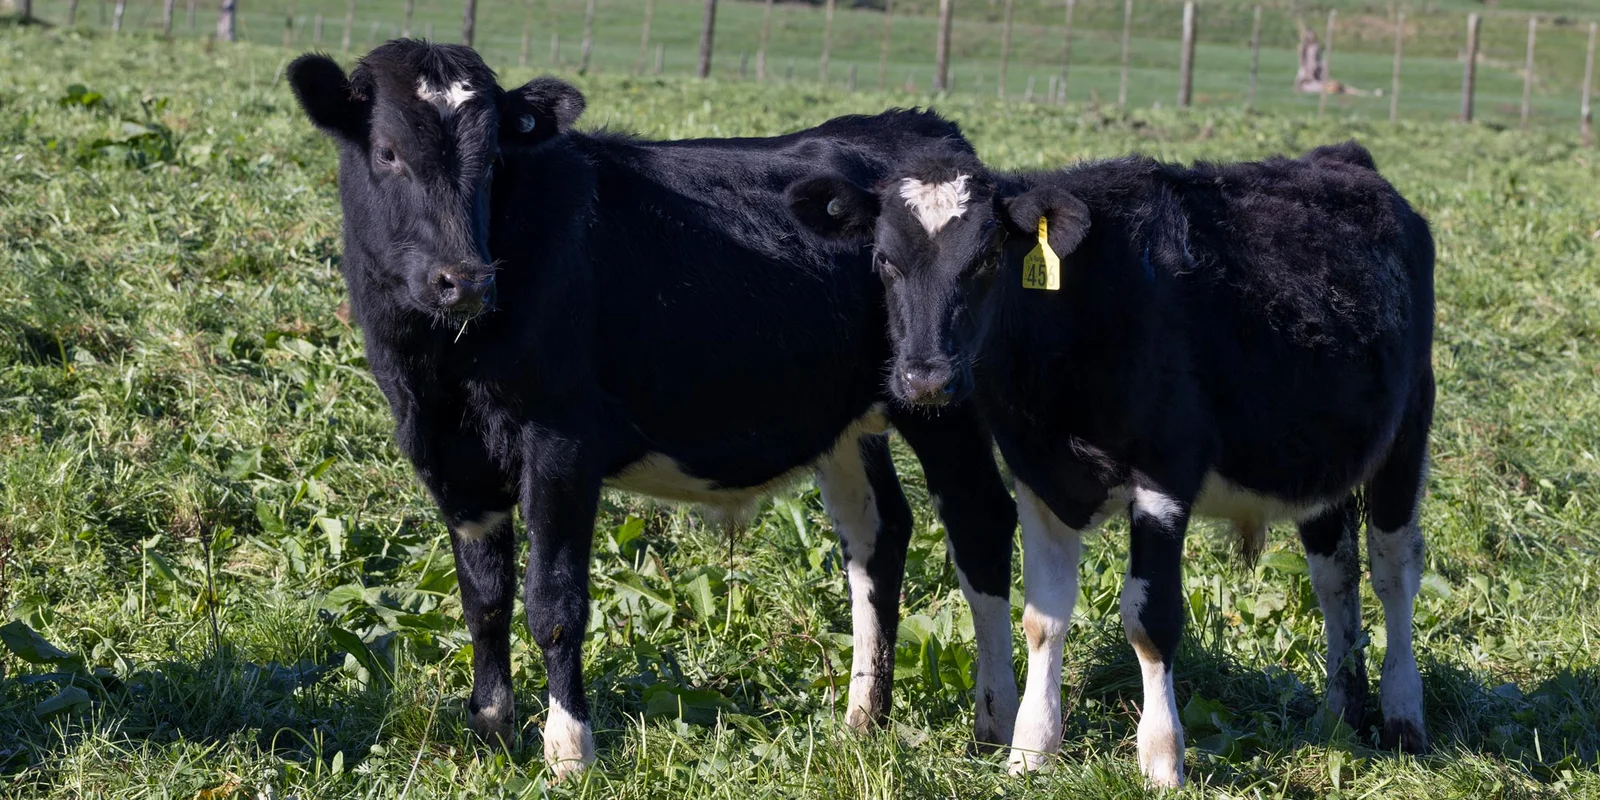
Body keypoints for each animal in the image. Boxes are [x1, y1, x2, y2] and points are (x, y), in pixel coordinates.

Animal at [284, 41, 1019, 778]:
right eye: (386, 151)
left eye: (492, 158)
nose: (464, 280)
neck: (443, 362)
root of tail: (917, 125)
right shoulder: (445, 452)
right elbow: (484, 602)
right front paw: (491, 734)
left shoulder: (561, 440)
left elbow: (552, 600)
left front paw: (568, 748)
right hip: (845, 417)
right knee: (877, 535)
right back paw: (863, 721)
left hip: (941, 394)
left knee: (981, 521)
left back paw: (995, 725)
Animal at [787, 139, 1435, 786]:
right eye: (884, 261)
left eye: (987, 259)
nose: (926, 379)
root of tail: (1342, 157)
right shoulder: (1037, 477)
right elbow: (1042, 617)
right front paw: (1030, 751)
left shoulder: (1164, 478)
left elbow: (1151, 619)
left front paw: (1162, 759)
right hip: (1315, 461)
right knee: (1335, 575)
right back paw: (1340, 712)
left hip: (1407, 433)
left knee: (1393, 571)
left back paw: (1404, 716)